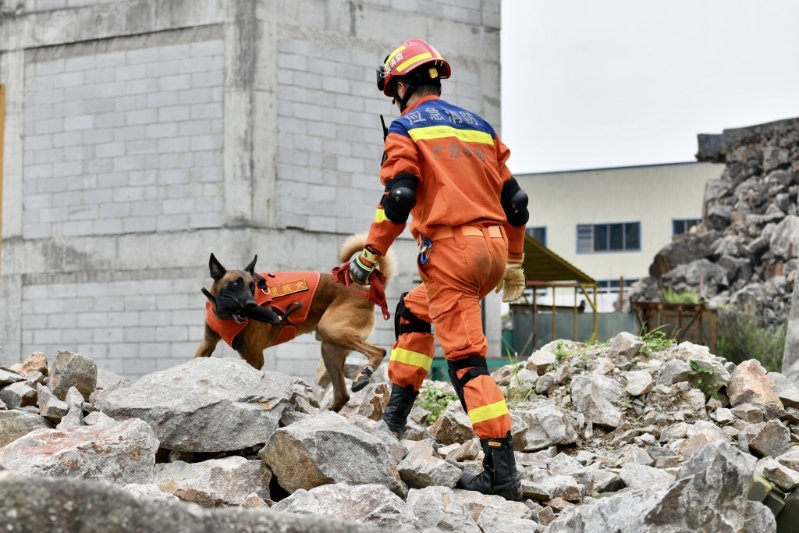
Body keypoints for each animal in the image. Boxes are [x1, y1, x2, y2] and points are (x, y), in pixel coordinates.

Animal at [194, 231, 394, 410]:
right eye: (236, 284)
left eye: (252, 287)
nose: (252, 305)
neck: (226, 315)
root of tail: (365, 292)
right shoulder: (208, 343)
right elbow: (194, 360)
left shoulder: (254, 357)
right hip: (330, 349)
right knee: (342, 395)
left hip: (332, 330)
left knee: (379, 351)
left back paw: (363, 375)